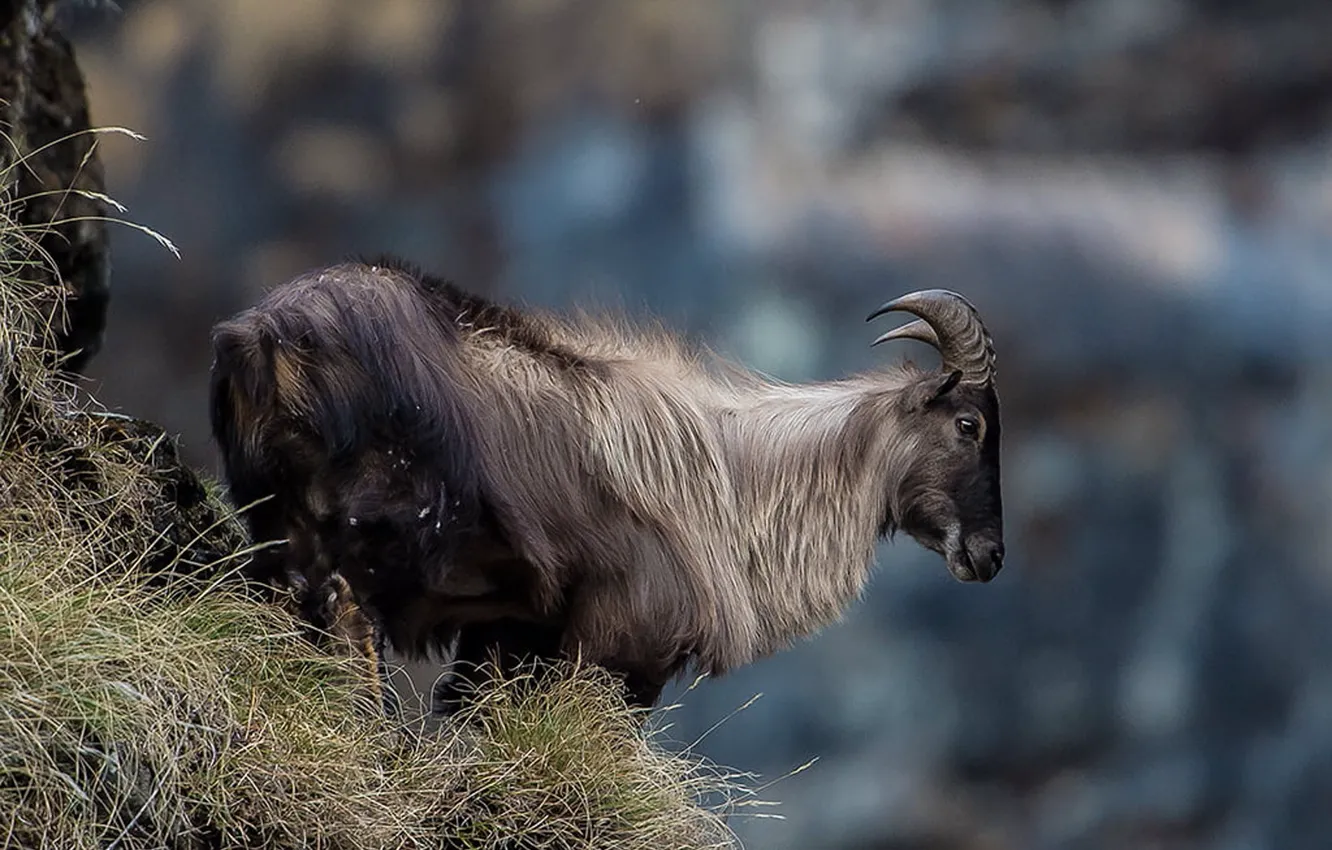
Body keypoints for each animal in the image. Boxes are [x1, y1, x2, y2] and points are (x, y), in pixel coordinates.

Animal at [208, 256, 1004, 712]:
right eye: (969, 424)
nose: (989, 555)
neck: (727, 485)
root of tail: (264, 338)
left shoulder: (510, 635)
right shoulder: (623, 645)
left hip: (276, 523)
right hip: (378, 531)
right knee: (346, 614)